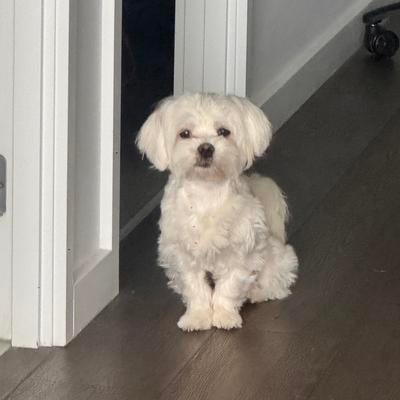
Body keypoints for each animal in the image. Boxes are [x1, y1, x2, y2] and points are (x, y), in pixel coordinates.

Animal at [137, 93, 298, 331]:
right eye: (185, 133)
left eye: (223, 131)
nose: (206, 148)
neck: (207, 194)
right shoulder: (183, 256)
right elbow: (195, 288)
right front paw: (197, 317)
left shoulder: (241, 255)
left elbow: (229, 288)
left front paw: (224, 316)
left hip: (275, 256)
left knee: (277, 280)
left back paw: (258, 292)